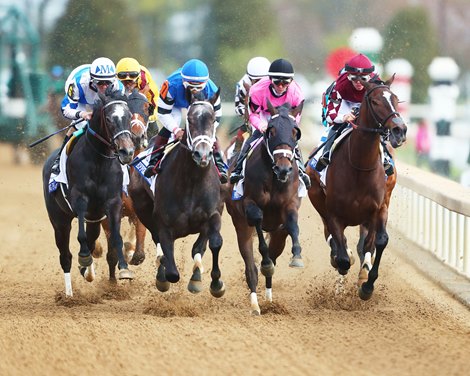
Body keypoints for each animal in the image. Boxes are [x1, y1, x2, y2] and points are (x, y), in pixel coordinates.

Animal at [41, 89, 136, 296]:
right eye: (108, 119)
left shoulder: (113, 202)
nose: (127, 151)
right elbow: (81, 238)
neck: (99, 161)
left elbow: (116, 238)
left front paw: (124, 269)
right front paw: (84, 258)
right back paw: (69, 294)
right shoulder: (80, 199)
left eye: (129, 116)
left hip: (94, 219)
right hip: (59, 220)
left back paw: (87, 271)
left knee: (91, 241)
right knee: (66, 255)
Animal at [225, 100, 304, 314]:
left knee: (275, 253)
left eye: (295, 131)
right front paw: (265, 263)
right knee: (251, 265)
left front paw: (297, 256)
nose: (283, 168)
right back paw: (255, 304)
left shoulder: (290, 204)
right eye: (271, 130)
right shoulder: (249, 204)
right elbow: (258, 220)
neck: (274, 178)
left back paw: (269, 299)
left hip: (278, 234)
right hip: (240, 226)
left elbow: (293, 224)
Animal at [306, 78, 406, 300]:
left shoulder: (379, 208)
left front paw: (367, 284)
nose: (400, 130)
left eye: (396, 99)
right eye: (376, 101)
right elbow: (342, 255)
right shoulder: (334, 214)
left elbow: (379, 242)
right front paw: (343, 267)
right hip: (318, 200)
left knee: (364, 245)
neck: (360, 166)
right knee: (333, 239)